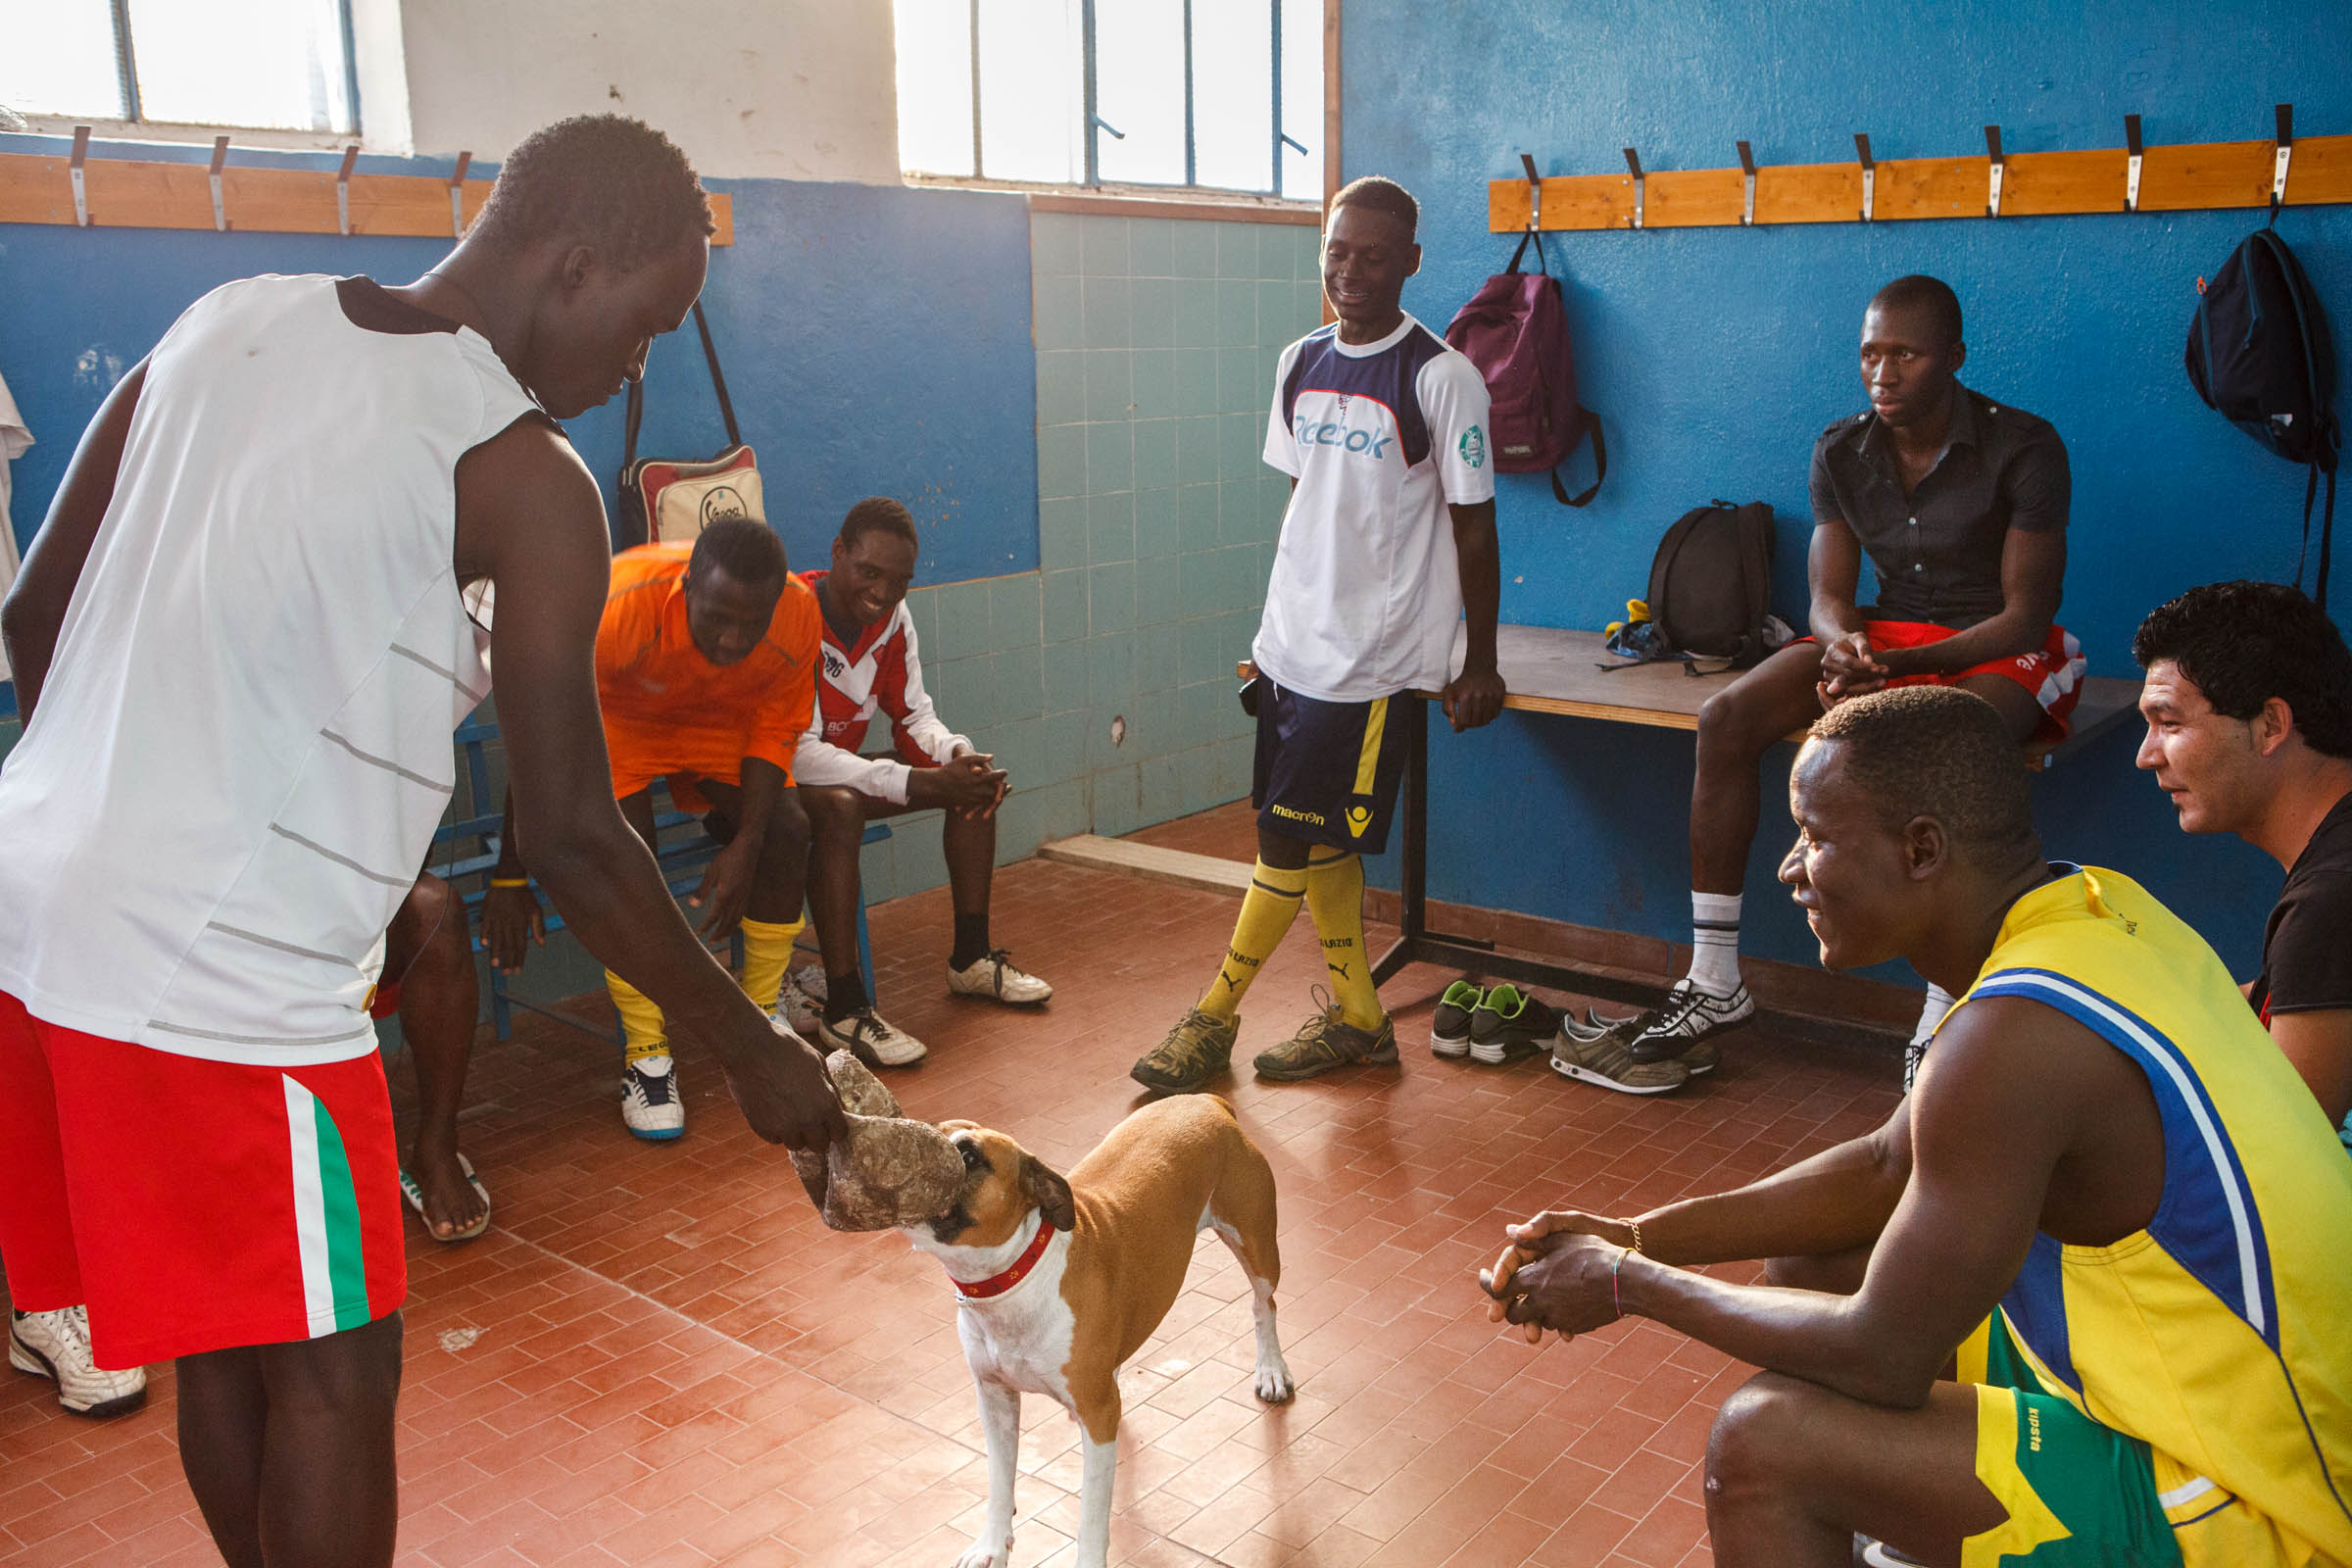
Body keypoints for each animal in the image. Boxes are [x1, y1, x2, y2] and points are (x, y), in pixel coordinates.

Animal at [903, 1100, 1307, 1560]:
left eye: (969, 1156)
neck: (1014, 1278)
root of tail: (1206, 1102)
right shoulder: (995, 1400)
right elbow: (999, 1482)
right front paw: (991, 1545)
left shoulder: (1097, 1421)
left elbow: (1092, 1518)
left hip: (1256, 1245)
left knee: (1263, 1305)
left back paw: (1271, 1370)